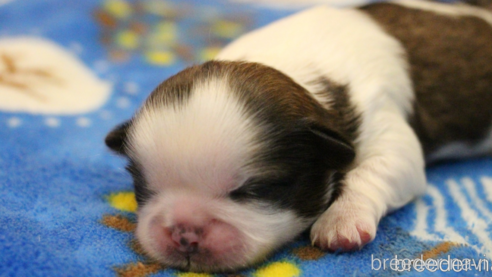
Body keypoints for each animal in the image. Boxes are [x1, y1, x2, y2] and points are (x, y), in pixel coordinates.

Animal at [104, 0, 492, 272]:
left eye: (255, 190)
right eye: (144, 187)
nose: (184, 234)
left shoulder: (384, 125)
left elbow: (376, 167)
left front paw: (341, 220)